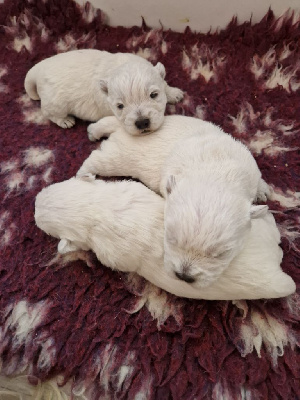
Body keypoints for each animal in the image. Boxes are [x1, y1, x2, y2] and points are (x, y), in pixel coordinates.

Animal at [24, 48, 183, 133]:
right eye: (120, 106)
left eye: (154, 95)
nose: (142, 123)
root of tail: (39, 69)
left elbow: (164, 83)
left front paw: (175, 93)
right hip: (55, 104)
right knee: (48, 113)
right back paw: (65, 121)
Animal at [77, 115, 270, 288]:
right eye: (170, 239)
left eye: (221, 254)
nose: (184, 276)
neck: (217, 173)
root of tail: (122, 128)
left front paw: (263, 189)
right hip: (117, 157)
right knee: (96, 158)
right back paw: (83, 174)